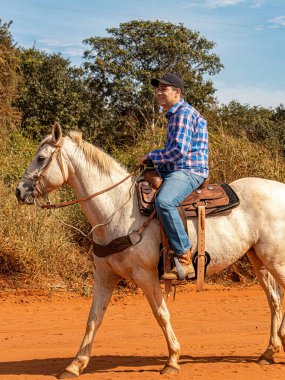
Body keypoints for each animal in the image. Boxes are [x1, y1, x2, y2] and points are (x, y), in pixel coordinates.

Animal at [15, 124, 284, 378]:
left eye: (41, 158)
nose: (20, 190)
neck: (118, 209)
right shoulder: (105, 275)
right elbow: (93, 319)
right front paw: (75, 365)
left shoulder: (145, 275)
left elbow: (161, 314)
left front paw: (172, 360)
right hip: (259, 259)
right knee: (274, 300)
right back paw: (269, 352)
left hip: (275, 260)